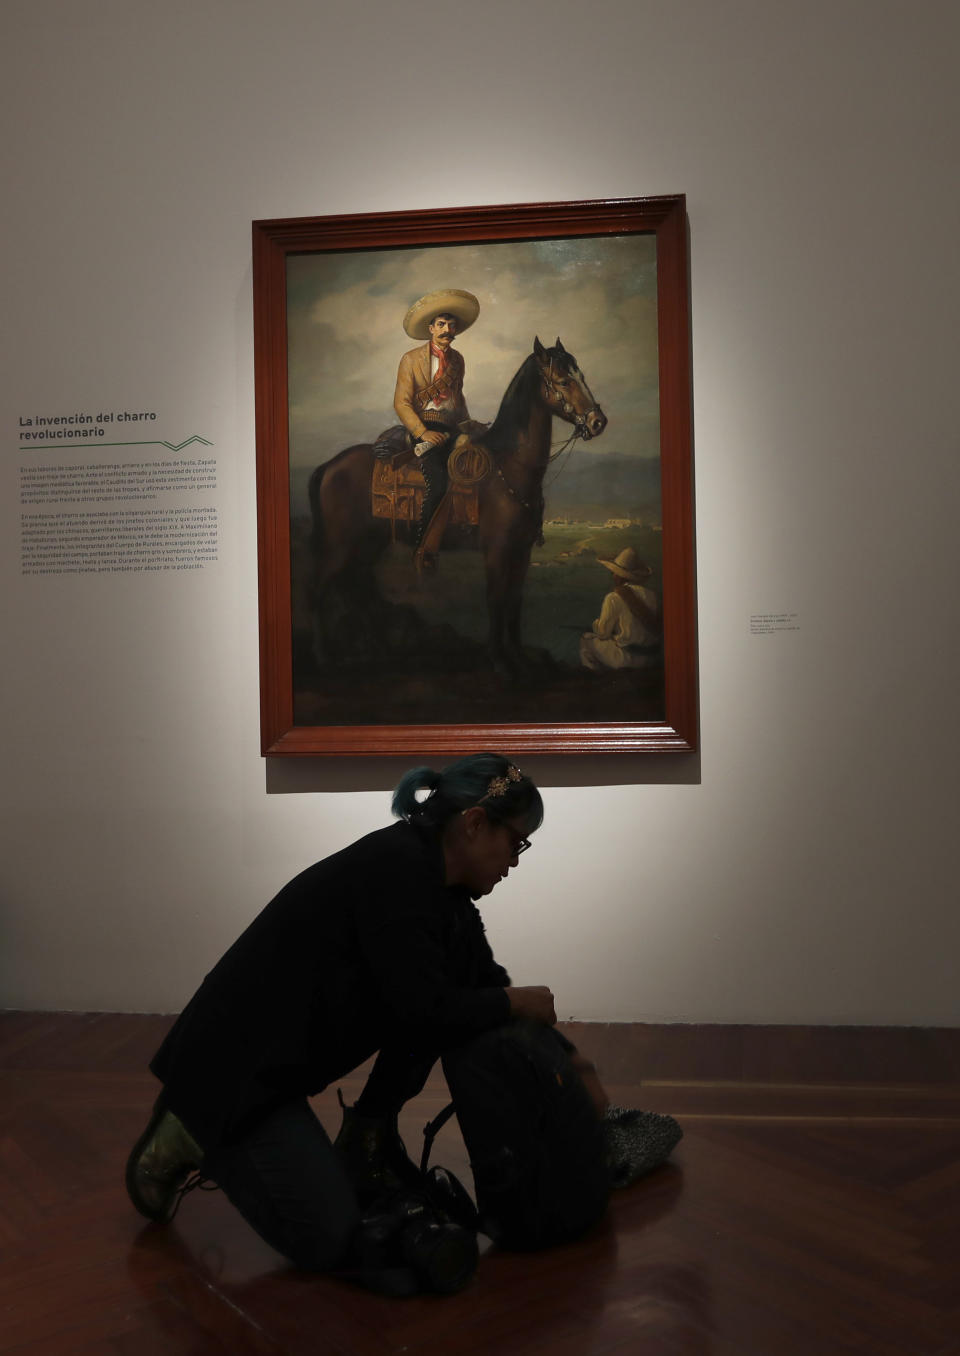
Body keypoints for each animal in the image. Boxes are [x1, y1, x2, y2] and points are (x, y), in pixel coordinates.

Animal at [307, 336, 607, 675]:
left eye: (581, 376)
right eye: (564, 381)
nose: (598, 421)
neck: (508, 466)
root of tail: (328, 467)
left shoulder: (521, 551)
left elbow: (515, 601)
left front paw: (519, 656)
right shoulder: (497, 550)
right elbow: (496, 599)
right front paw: (499, 660)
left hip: (369, 543)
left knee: (358, 587)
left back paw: (381, 650)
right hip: (339, 544)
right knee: (320, 589)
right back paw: (323, 657)